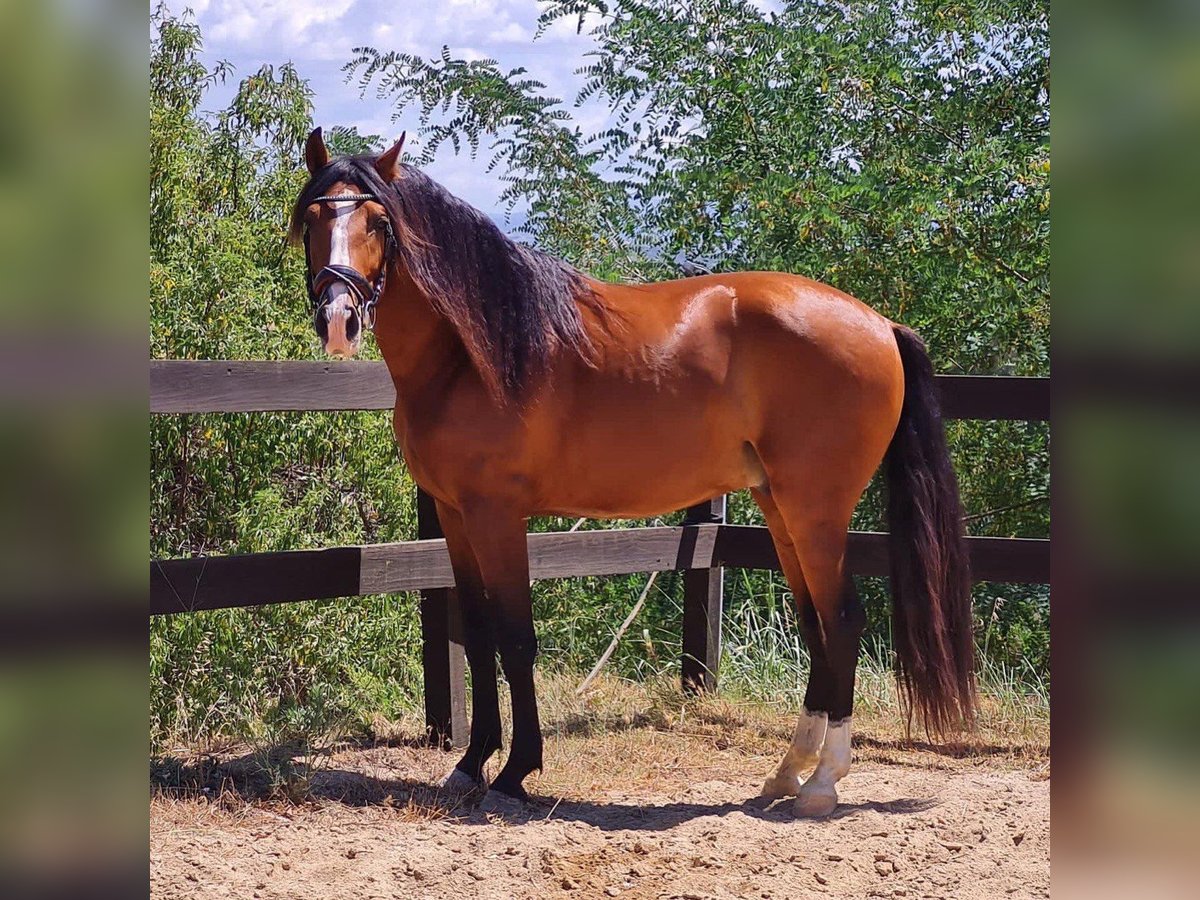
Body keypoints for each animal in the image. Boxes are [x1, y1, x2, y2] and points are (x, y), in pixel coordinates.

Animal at [290, 128, 976, 817]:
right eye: (314, 217)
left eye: (380, 222)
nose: (338, 320)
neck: (474, 353)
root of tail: (879, 324)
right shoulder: (455, 516)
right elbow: (480, 635)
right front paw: (469, 763)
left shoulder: (497, 516)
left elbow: (517, 637)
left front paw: (515, 771)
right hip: (780, 506)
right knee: (817, 624)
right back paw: (786, 774)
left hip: (816, 508)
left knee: (842, 621)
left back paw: (822, 785)